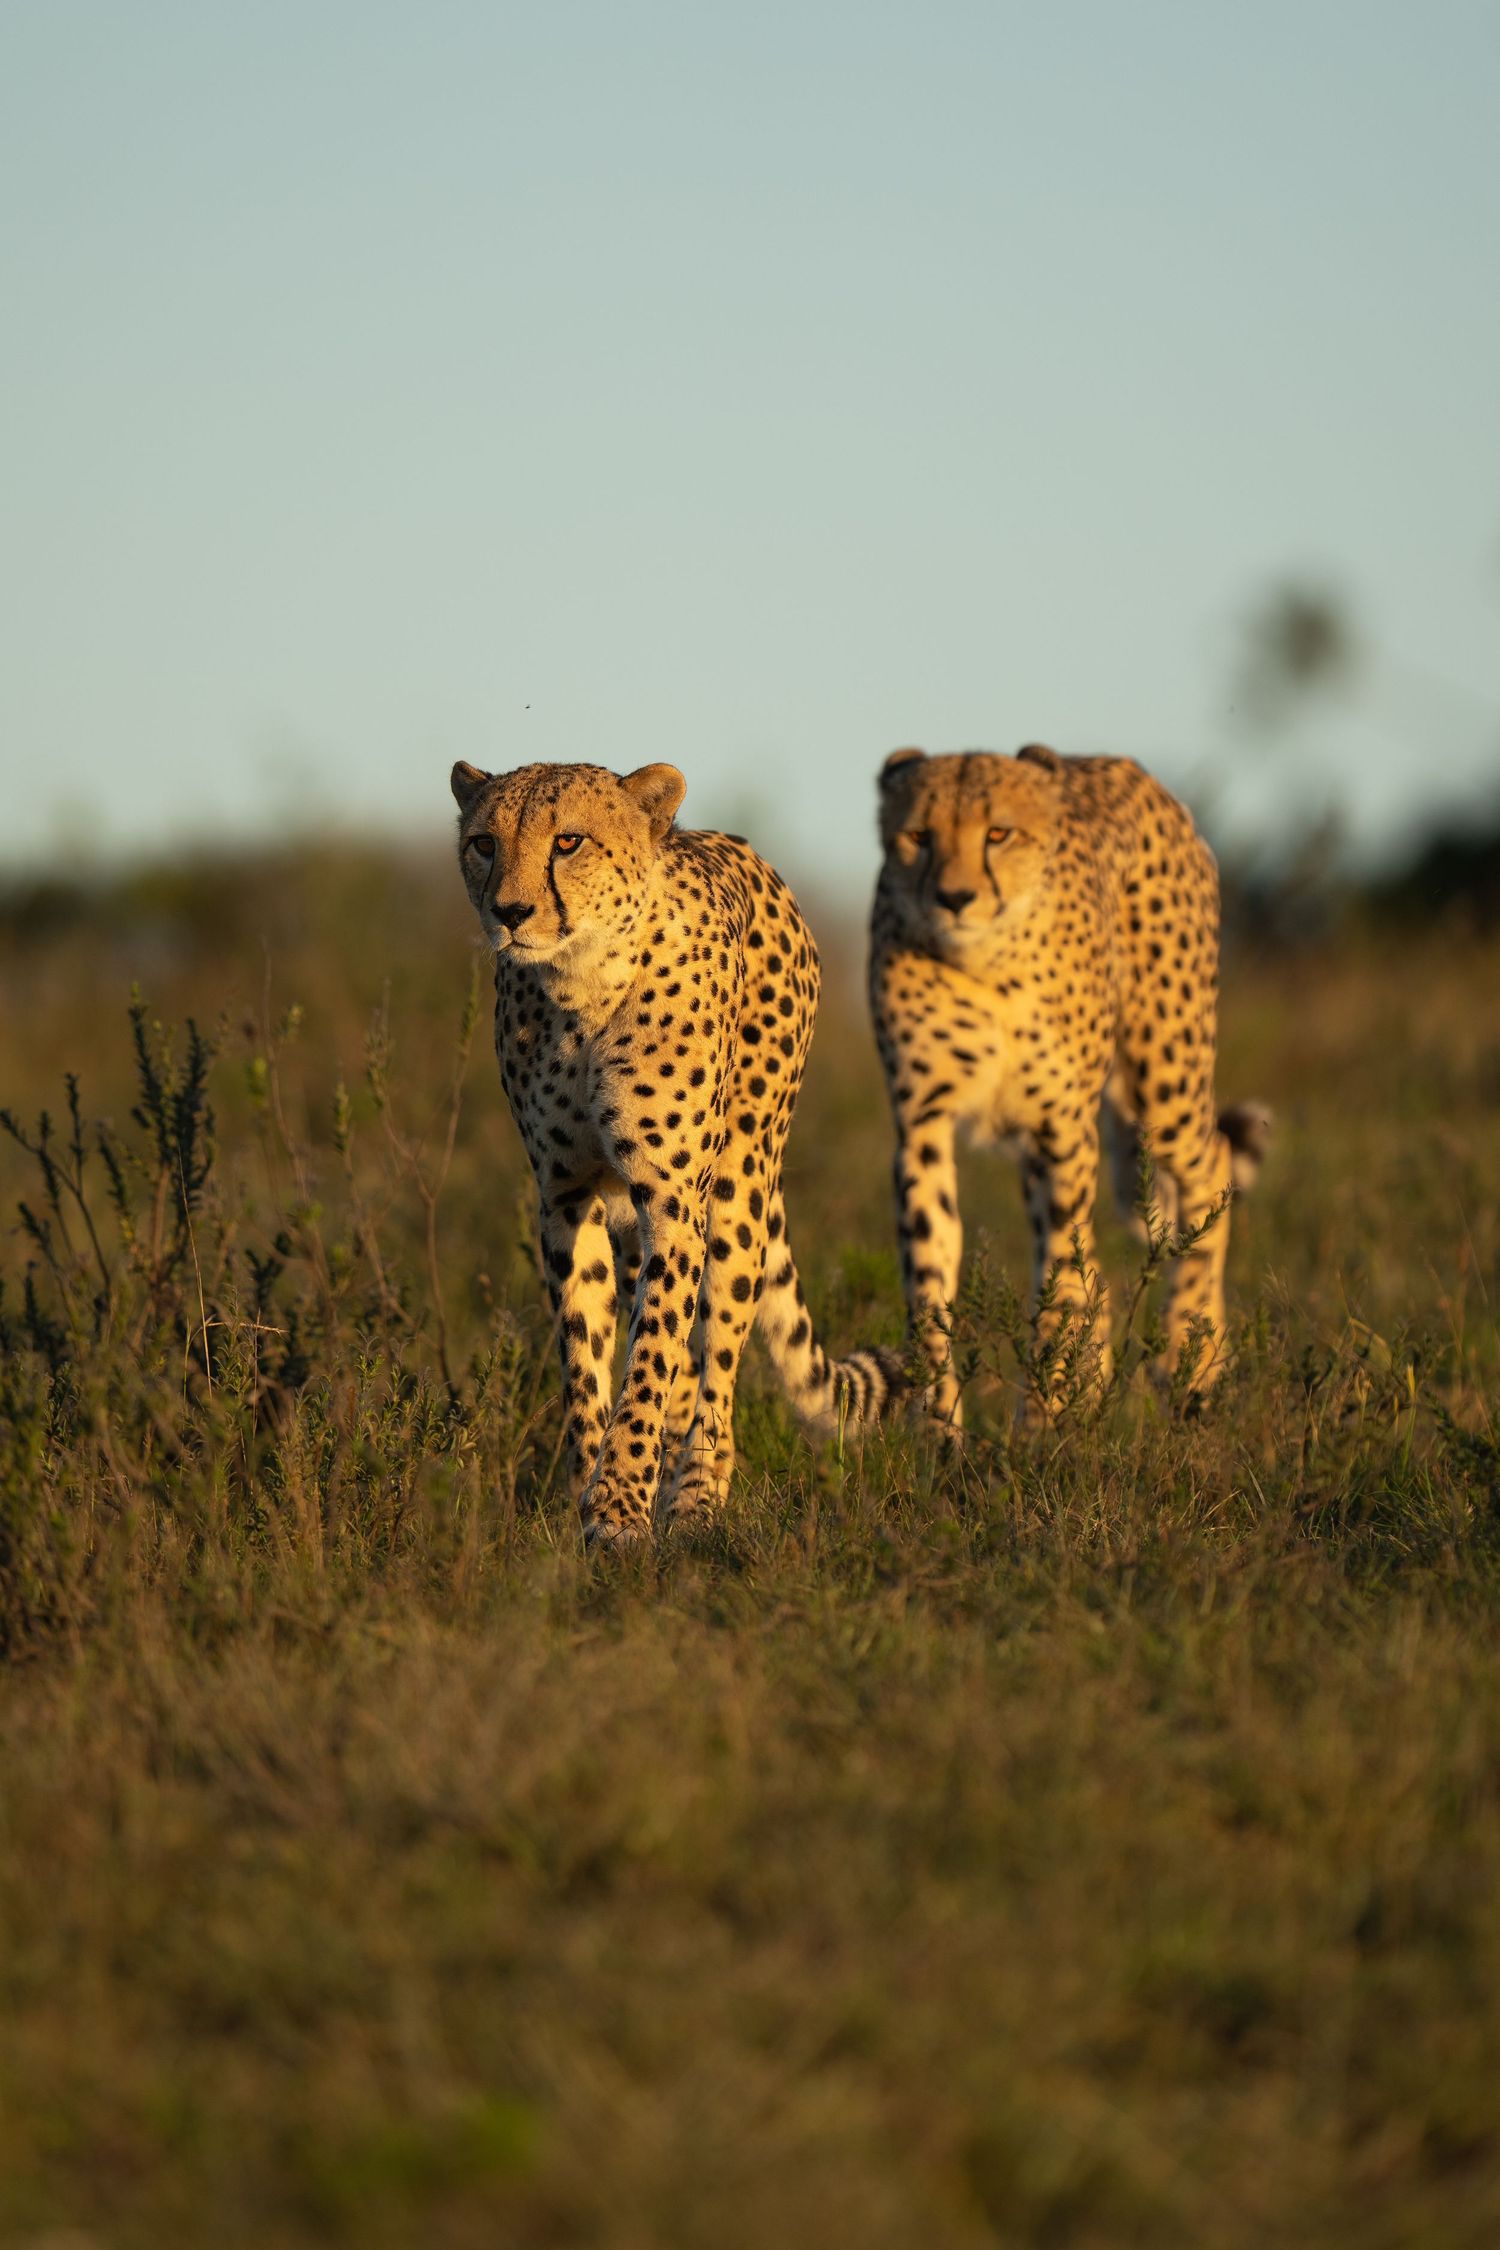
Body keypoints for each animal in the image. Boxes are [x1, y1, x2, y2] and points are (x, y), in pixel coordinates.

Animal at [452, 756, 906, 1546]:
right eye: (484, 843)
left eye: (568, 841)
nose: (510, 912)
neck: (584, 988)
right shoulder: (566, 1195)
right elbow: (587, 1359)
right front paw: (589, 1492)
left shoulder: (670, 1196)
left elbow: (654, 1352)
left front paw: (620, 1506)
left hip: (737, 1189)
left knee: (717, 1359)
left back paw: (696, 1496)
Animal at [869, 743, 1270, 1424]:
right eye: (918, 836)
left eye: (998, 834)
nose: (954, 898)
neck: (987, 964)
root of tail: (1119, 765)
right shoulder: (921, 1124)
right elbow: (929, 1275)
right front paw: (939, 1427)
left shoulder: (1062, 1128)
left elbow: (1058, 1267)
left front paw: (1044, 1416)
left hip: (1165, 1079)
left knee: (1210, 1165)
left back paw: (1191, 1360)